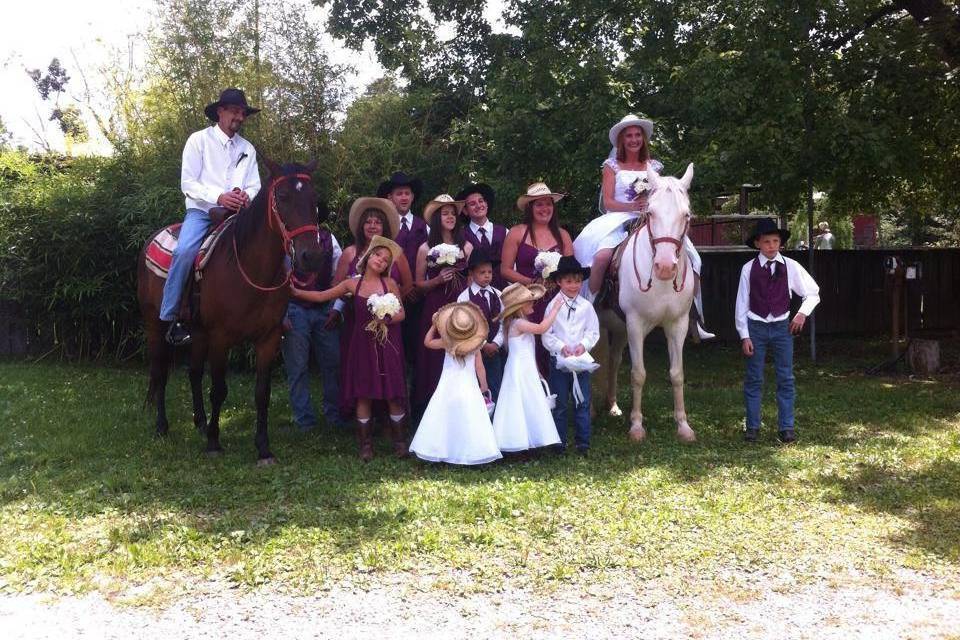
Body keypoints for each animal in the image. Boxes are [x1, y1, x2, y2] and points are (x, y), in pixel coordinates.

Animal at [138, 158, 326, 462]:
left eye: (314, 199)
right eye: (283, 197)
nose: (312, 257)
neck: (251, 270)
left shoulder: (268, 339)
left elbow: (262, 393)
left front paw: (263, 448)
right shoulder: (220, 338)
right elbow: (218, 390)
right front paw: (214, 443)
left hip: (197, 333)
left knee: (193, 372)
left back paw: (200, 423)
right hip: (155, 325)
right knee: (160, 372)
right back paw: (162, 426)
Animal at [620, 165, 692, 442]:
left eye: (686, 215)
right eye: (650, 212)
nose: (664, 267)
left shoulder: (678, 325)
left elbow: (677, 374)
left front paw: (683, 424)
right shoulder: (634, 325)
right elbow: (638, 374)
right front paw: (636, 426)